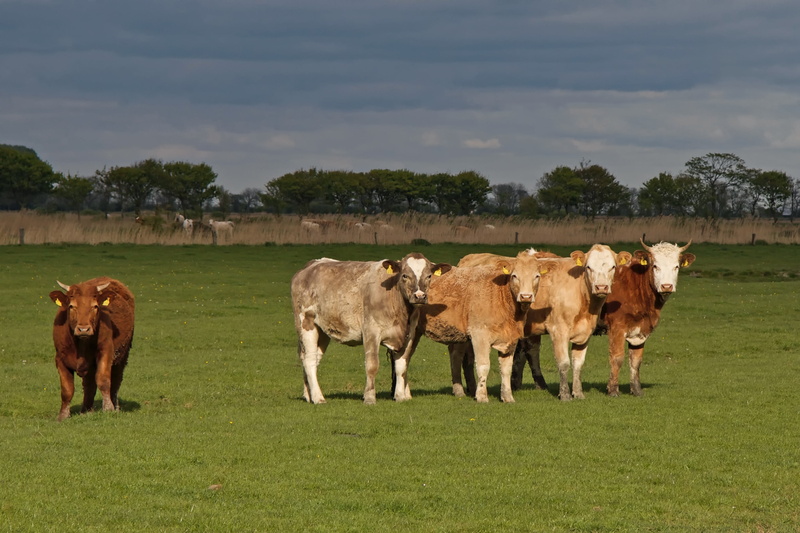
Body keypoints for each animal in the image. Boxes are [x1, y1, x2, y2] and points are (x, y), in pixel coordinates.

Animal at [49, 277, 135, 421]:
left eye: (95, 306)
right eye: (71, 306)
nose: (84, 329)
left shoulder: (106, 352)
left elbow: (103, 380)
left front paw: (109, 409)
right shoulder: (60, 358)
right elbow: (67, 389)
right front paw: (62, 416)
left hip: (123, 356)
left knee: (116, 381)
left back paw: (115, 406)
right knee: (88, 385)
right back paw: (86, 410)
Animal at [291, 253, 452, 405]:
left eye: (429, 276)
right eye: (405, 275)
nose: (419, 296)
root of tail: (312, 265)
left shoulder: (410, 334)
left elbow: (401, 366)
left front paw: (400, 396)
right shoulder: (371, 331)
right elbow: (372, 365)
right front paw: (369, 398)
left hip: (322, 331)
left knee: (313, 358)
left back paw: (309, 395)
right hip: (306, 322)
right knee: (309, 360)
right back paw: (318, 398)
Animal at [397, 249, 543, 403]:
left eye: (537, 276)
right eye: (514, 276)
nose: (526, 296)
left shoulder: (511, 338)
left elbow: (506, 369)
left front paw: (507, 397)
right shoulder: (480, 335)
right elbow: (483, 366)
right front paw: (482, 396)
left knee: (406, 359)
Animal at [600, 240, 696, 396]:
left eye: (676, 266)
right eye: (655, 265)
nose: (666, 286)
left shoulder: (640, 330)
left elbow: (636, 361)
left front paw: (637, 390)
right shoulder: (617, 327)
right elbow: (617, 358)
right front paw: (613, 390)